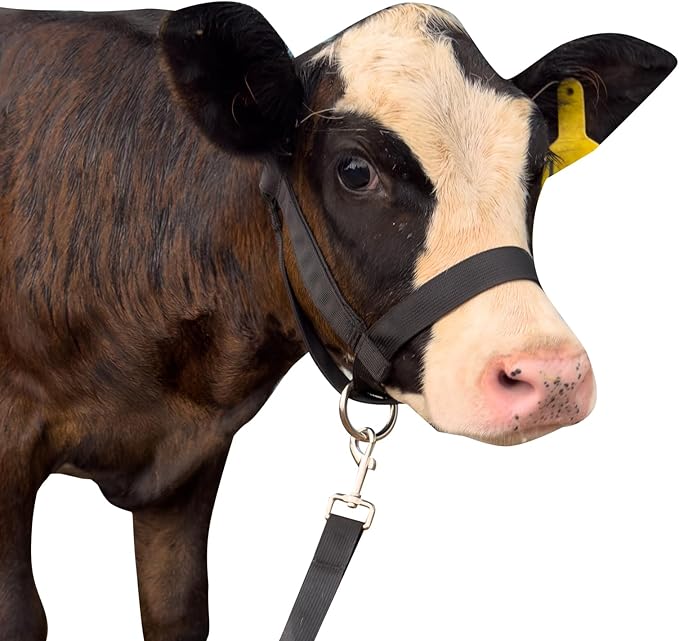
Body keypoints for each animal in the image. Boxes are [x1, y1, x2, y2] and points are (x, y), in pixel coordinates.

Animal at [0, 2, 674, 639]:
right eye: (355, 171)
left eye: (537, 166)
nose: (550, 374)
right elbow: (24, 616)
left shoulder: (188, 464)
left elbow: (177, 609)